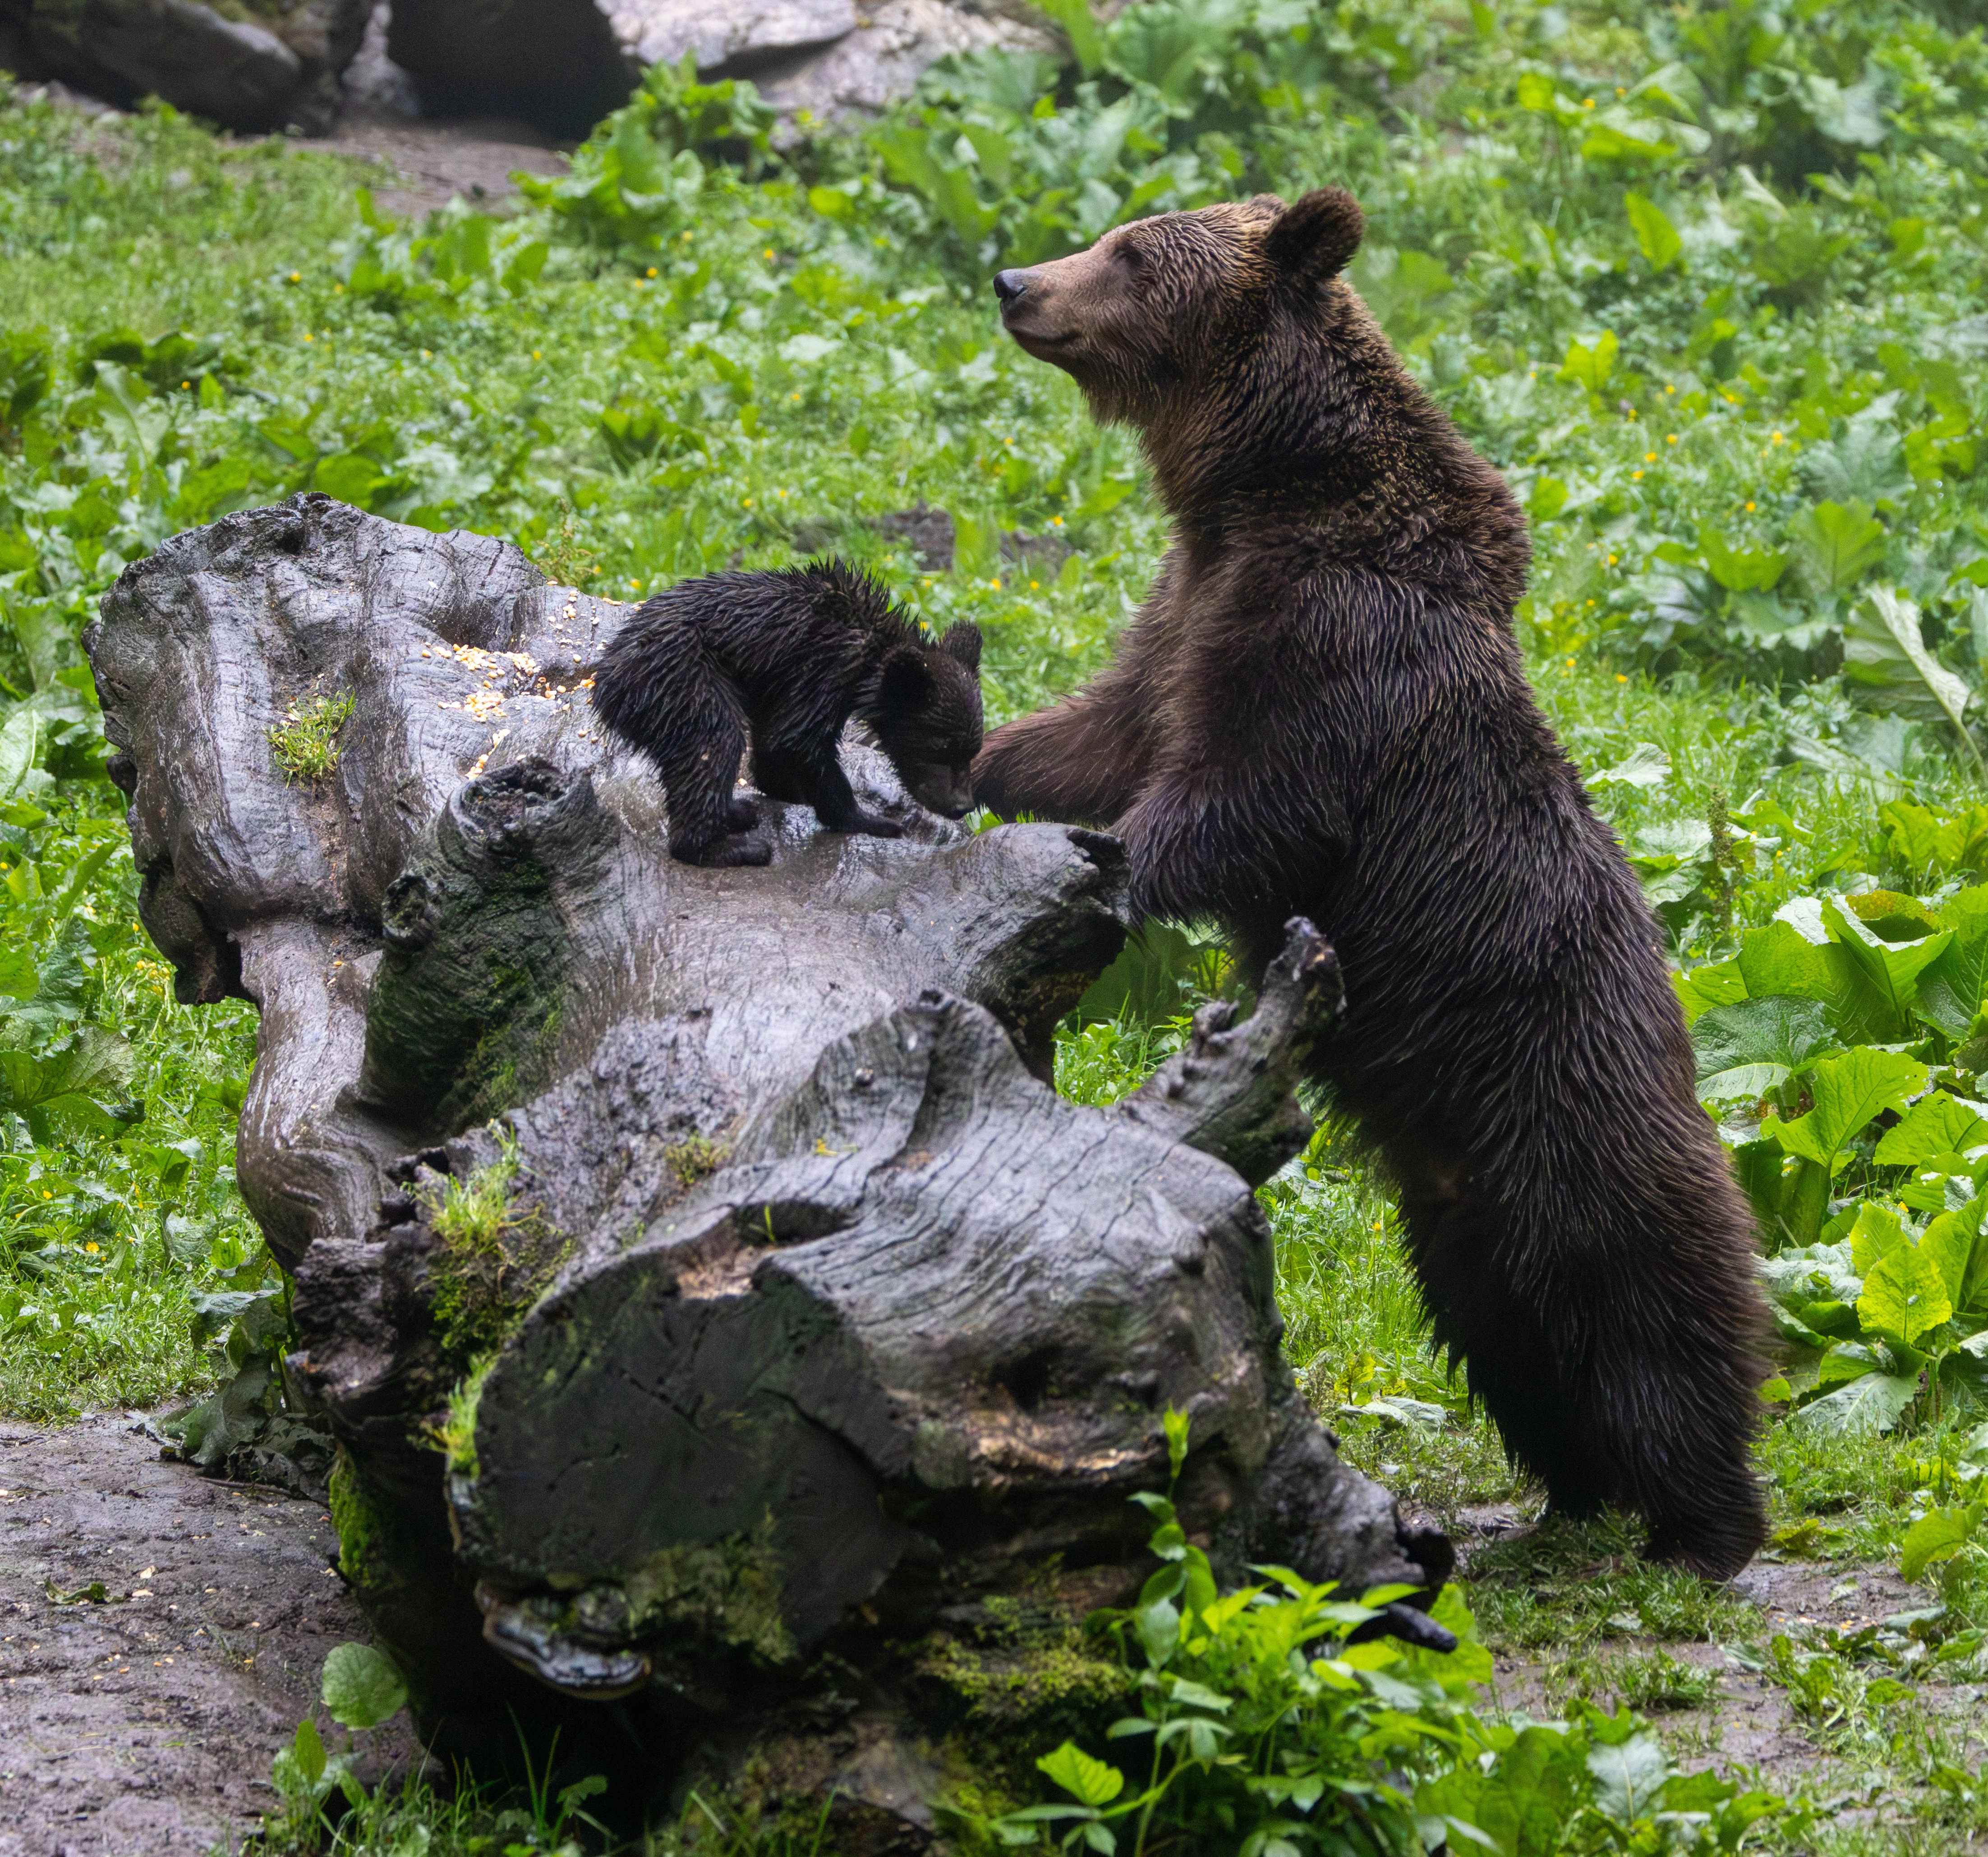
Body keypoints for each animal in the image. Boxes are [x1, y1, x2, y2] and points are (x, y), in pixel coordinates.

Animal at [590, 559, 984, 866]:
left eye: (972, 751)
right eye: (940, 751)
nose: (962, 807)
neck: (869, 660)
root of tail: (606, 683)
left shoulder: (781, 680)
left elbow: (774, 736)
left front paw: (783, 787)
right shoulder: (823, 670)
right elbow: (797, 740)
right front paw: (870, 820)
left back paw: (736, 812)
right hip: (683, 677)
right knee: (713, 742)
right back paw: (730, 849)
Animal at [975, 189, 1769, 1580]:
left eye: (1132, 252)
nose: (1016, 280)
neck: (1262, 491)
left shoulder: (1335, 651)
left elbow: (1237, 803)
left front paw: (1103, 870)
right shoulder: (1183, 612)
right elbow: (1090, 734)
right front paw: (951, 748)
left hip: (1575, 1095)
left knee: (1652, 1294)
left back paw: (1704, 1521)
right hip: (1457, 1217)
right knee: (1507, 1333)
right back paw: (1568, 1495)